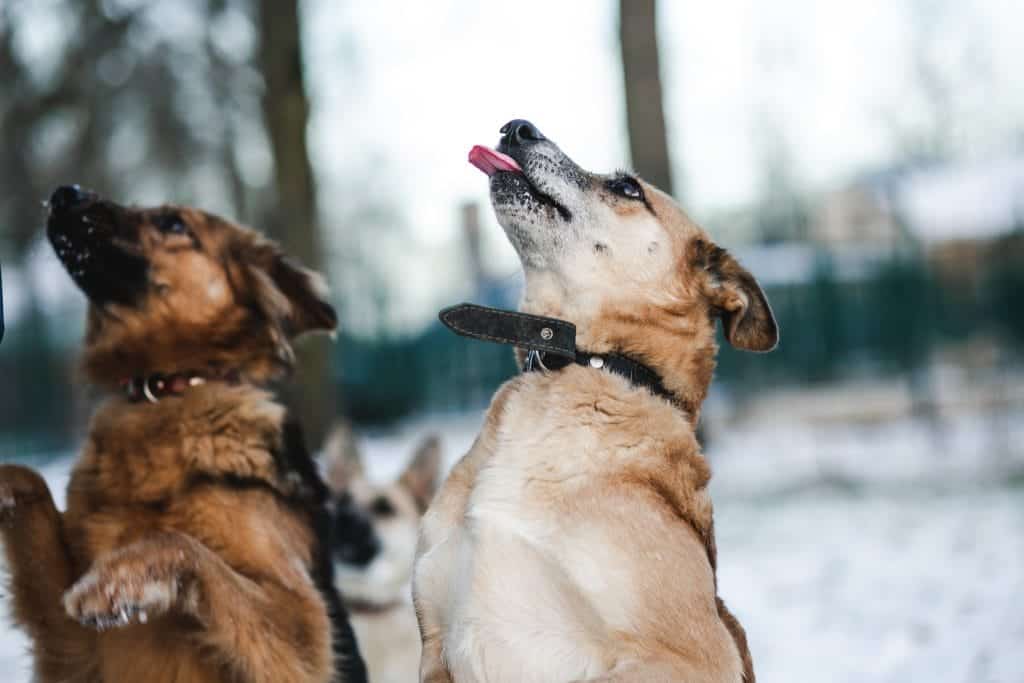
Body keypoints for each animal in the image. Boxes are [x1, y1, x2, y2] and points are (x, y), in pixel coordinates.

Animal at [0, 186, 367, 683]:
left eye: (173, 224)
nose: (64, 193)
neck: (164, 389)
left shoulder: (307, 628)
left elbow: (182, 544)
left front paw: (116, 579)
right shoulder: (73, 647)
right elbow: (26, 475)